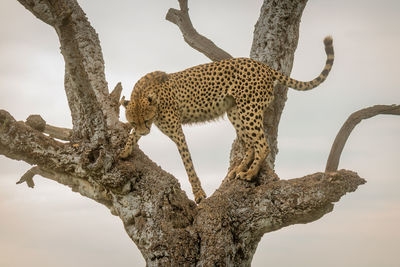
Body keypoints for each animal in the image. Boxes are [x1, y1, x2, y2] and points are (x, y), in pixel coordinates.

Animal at [119, 36, 334, 205]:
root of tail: (262, 65)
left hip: (249, 110)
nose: (146, 131)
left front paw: (198, 194)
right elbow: (132, 136)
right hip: (236, 112)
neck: (145, 94)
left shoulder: (178, 133)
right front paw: (125, 151)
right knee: (250, 145)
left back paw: (249, 174)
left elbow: (188, 164)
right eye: (135, 122)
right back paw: (239, 169)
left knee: (262, 144)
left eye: (147, 120)